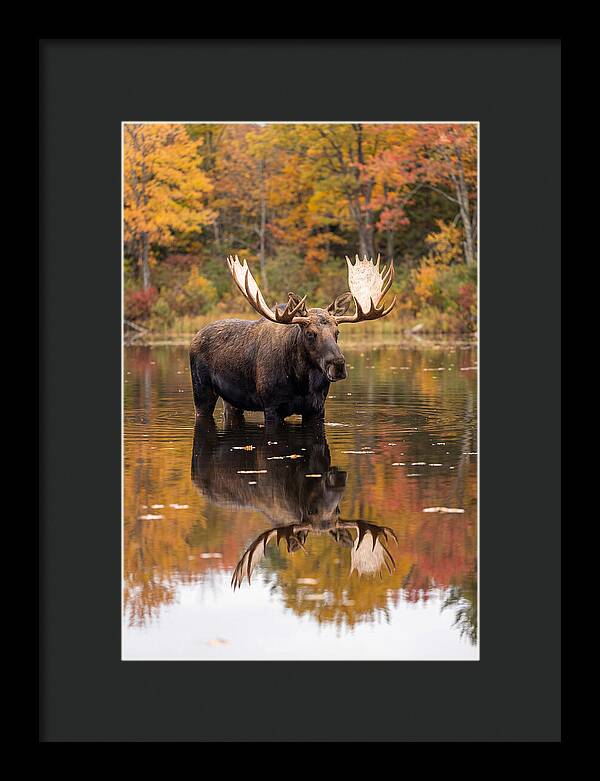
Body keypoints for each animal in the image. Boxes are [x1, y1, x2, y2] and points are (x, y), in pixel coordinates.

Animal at [189, 254, 396, 425]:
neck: (301, 381)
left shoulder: (317, 408)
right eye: (310, 333)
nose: (337, 364)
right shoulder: (271, 406)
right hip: (201, 391)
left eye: (337, 332)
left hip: (232, 400)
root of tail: (195, 336)